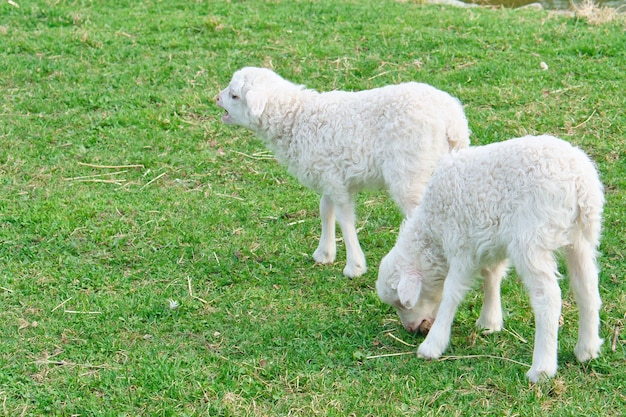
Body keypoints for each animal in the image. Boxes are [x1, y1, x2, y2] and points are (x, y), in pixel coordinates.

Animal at [217, 66, 466, 276]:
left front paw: (354, 266)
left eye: (235, 95)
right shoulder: (329, 175)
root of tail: (453, 122)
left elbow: (344, 218)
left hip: (411, 171)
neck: (297, 118)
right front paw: (324, 253)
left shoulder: (335, 181)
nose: (216, 98)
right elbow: (325, 210)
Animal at [378, 136, 604, 380]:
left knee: (548, 297)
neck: (432, 230)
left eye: (402, 304)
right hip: (580, 238)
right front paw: (490, 322)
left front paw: (432, 345)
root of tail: (579, 182)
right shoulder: (489, 243)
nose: (411, 329)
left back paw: (542, 368)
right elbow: (491, 276)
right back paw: (587, 349)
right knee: (587, 288)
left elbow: (451, 293)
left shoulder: (460, 246)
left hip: (532, 239)